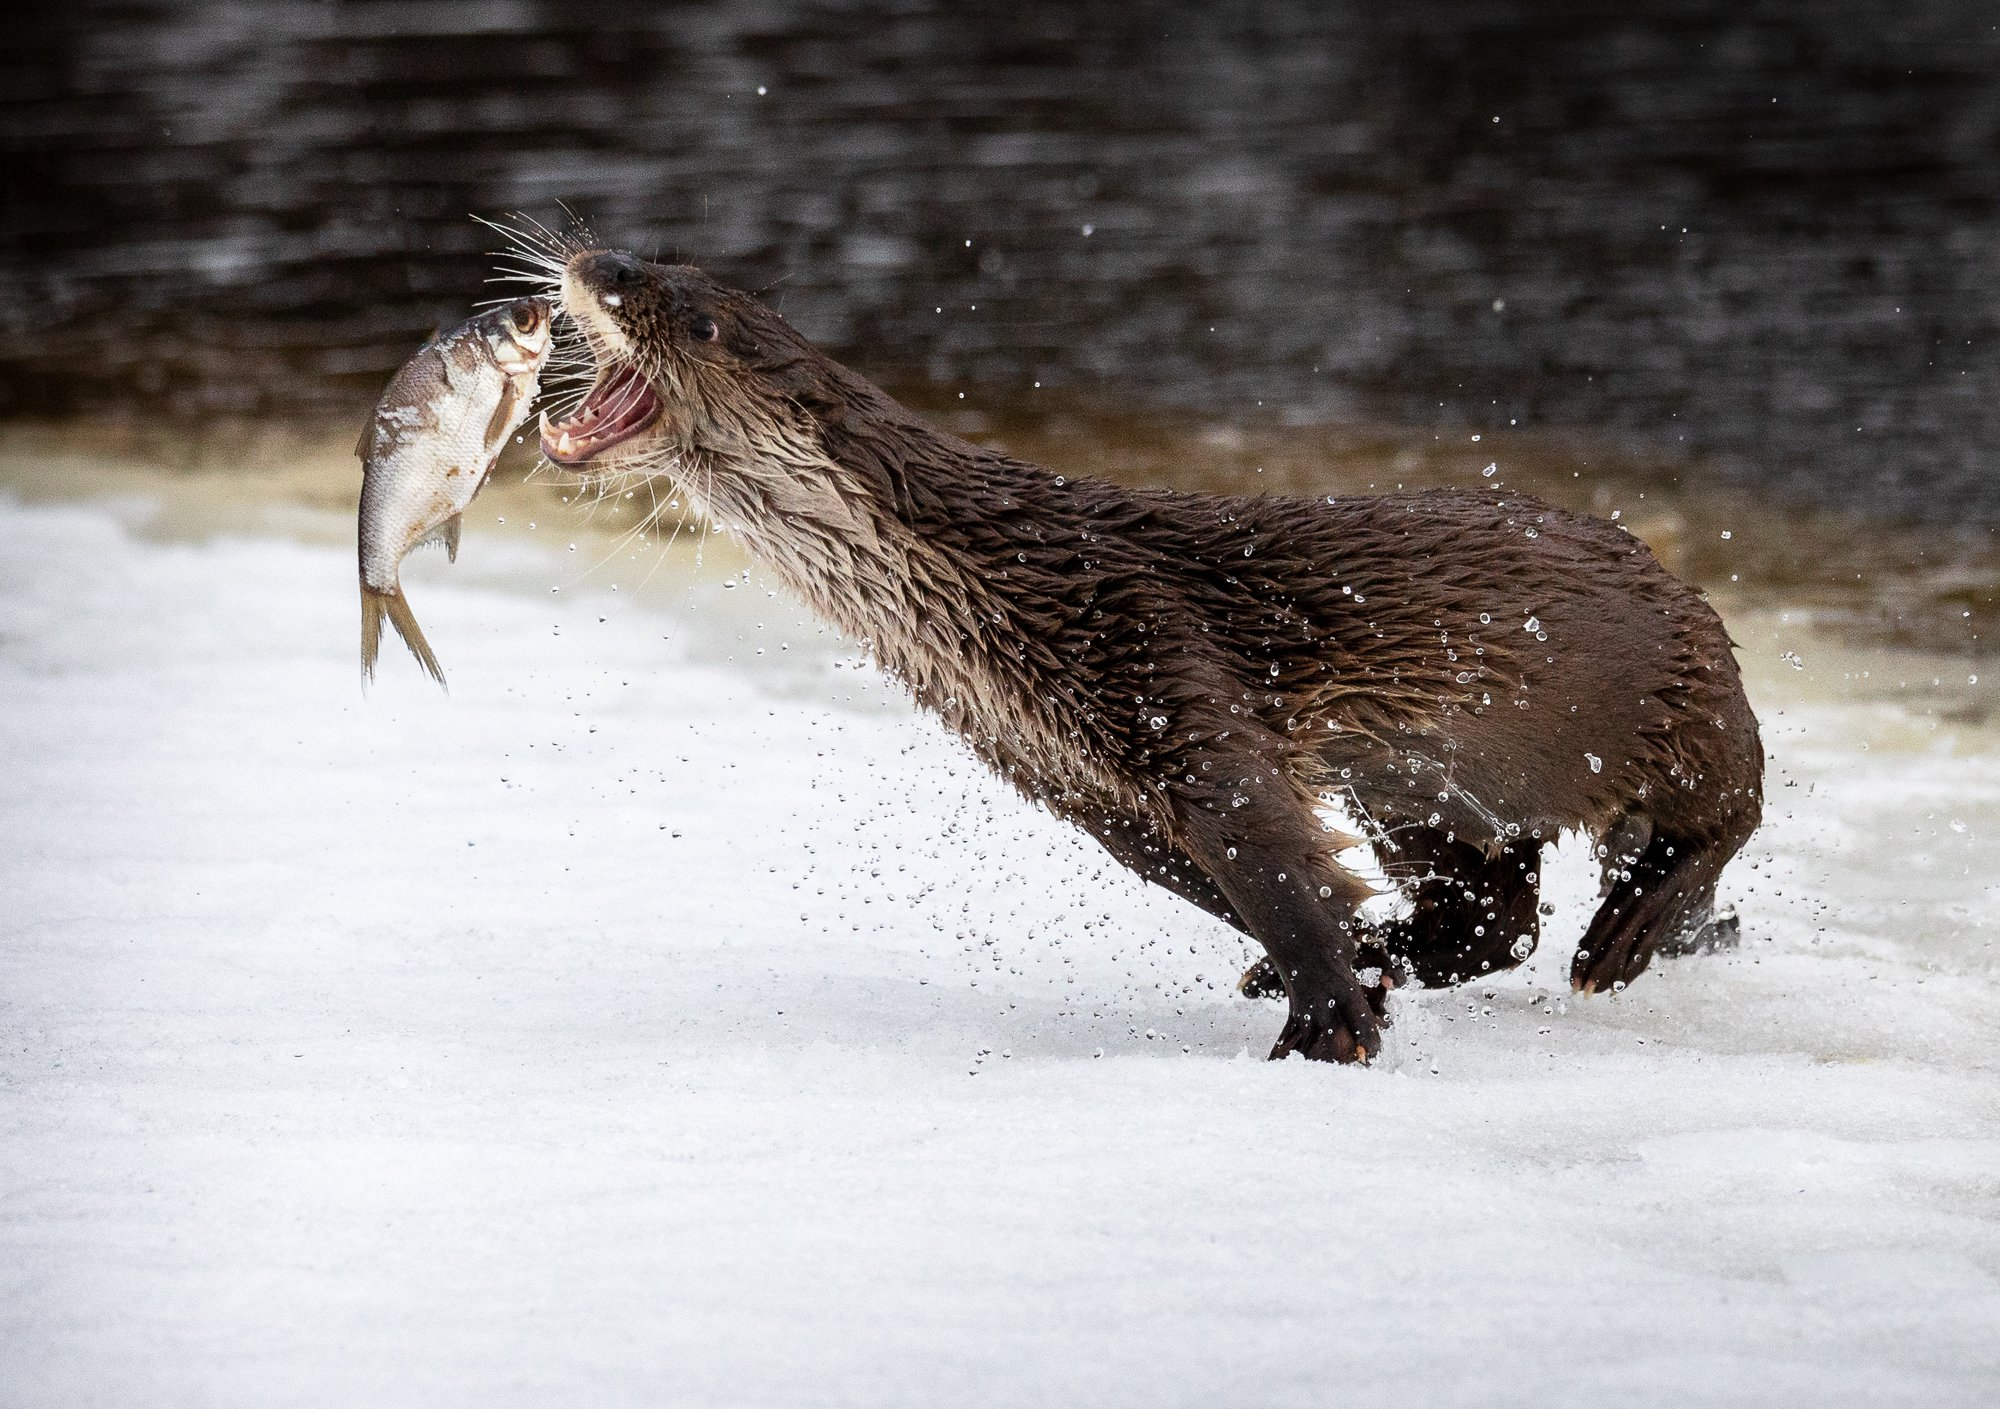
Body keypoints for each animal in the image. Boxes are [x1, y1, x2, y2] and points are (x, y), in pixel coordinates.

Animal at [536, 250, 1768, 1064]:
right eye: (648, 259)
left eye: (689, 315)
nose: (595, 261)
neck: (1003, 589)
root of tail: (1677, 586)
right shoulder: (1075, 774)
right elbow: (1233, 881)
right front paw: (1347, 967)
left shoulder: (1164, 674)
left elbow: (1264, 855)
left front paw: (1327, 1028)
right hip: (1426, 787)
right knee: (1496, 914)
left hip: (1679, 693)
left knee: (1724, 808)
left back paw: (1624, 932)